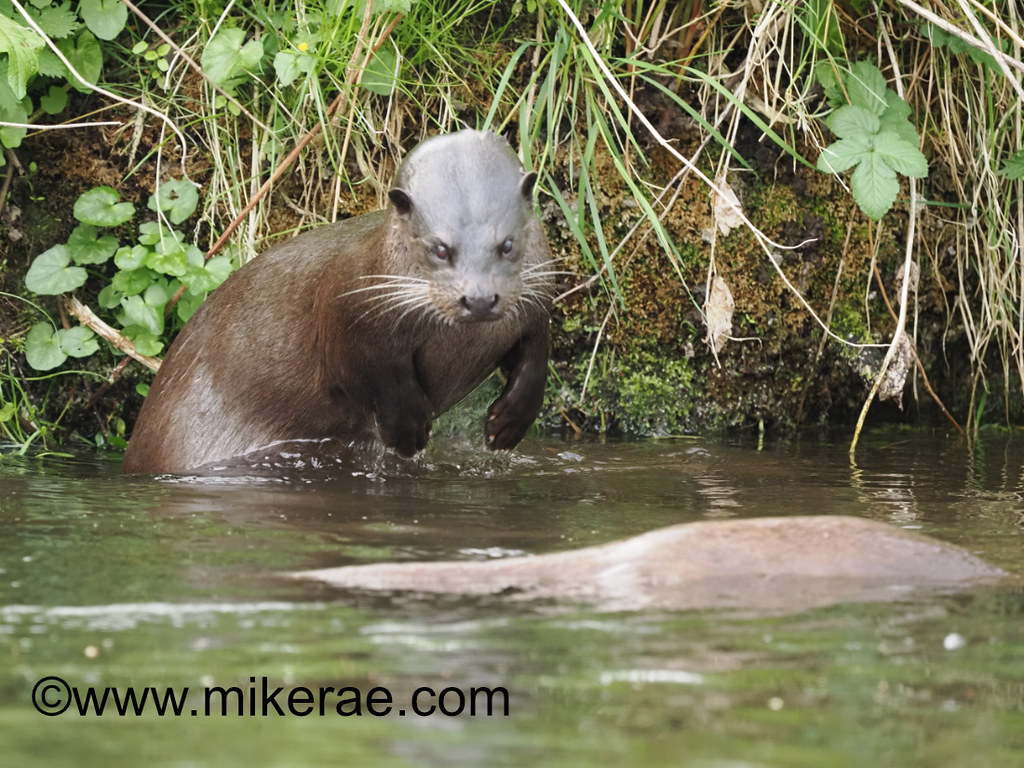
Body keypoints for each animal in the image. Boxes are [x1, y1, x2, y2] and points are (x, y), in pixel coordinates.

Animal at [122, 130, 555, 474]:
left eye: (507, 244)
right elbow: (373, 374)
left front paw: (510, 422)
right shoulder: (349, 312)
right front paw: (408, 430)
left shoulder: (540, 299)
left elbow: (536, 358)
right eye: (440, 249)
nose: (479, 298)